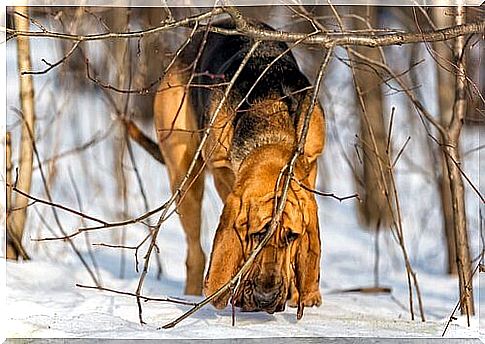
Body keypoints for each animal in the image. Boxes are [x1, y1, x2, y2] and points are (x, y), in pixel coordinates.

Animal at [153, 19, 324, 314]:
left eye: (292, 237)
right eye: (255, 235)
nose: (266, 298)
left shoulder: (311, 160)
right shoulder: (223, 171)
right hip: (183, 175)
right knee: (195, 253)